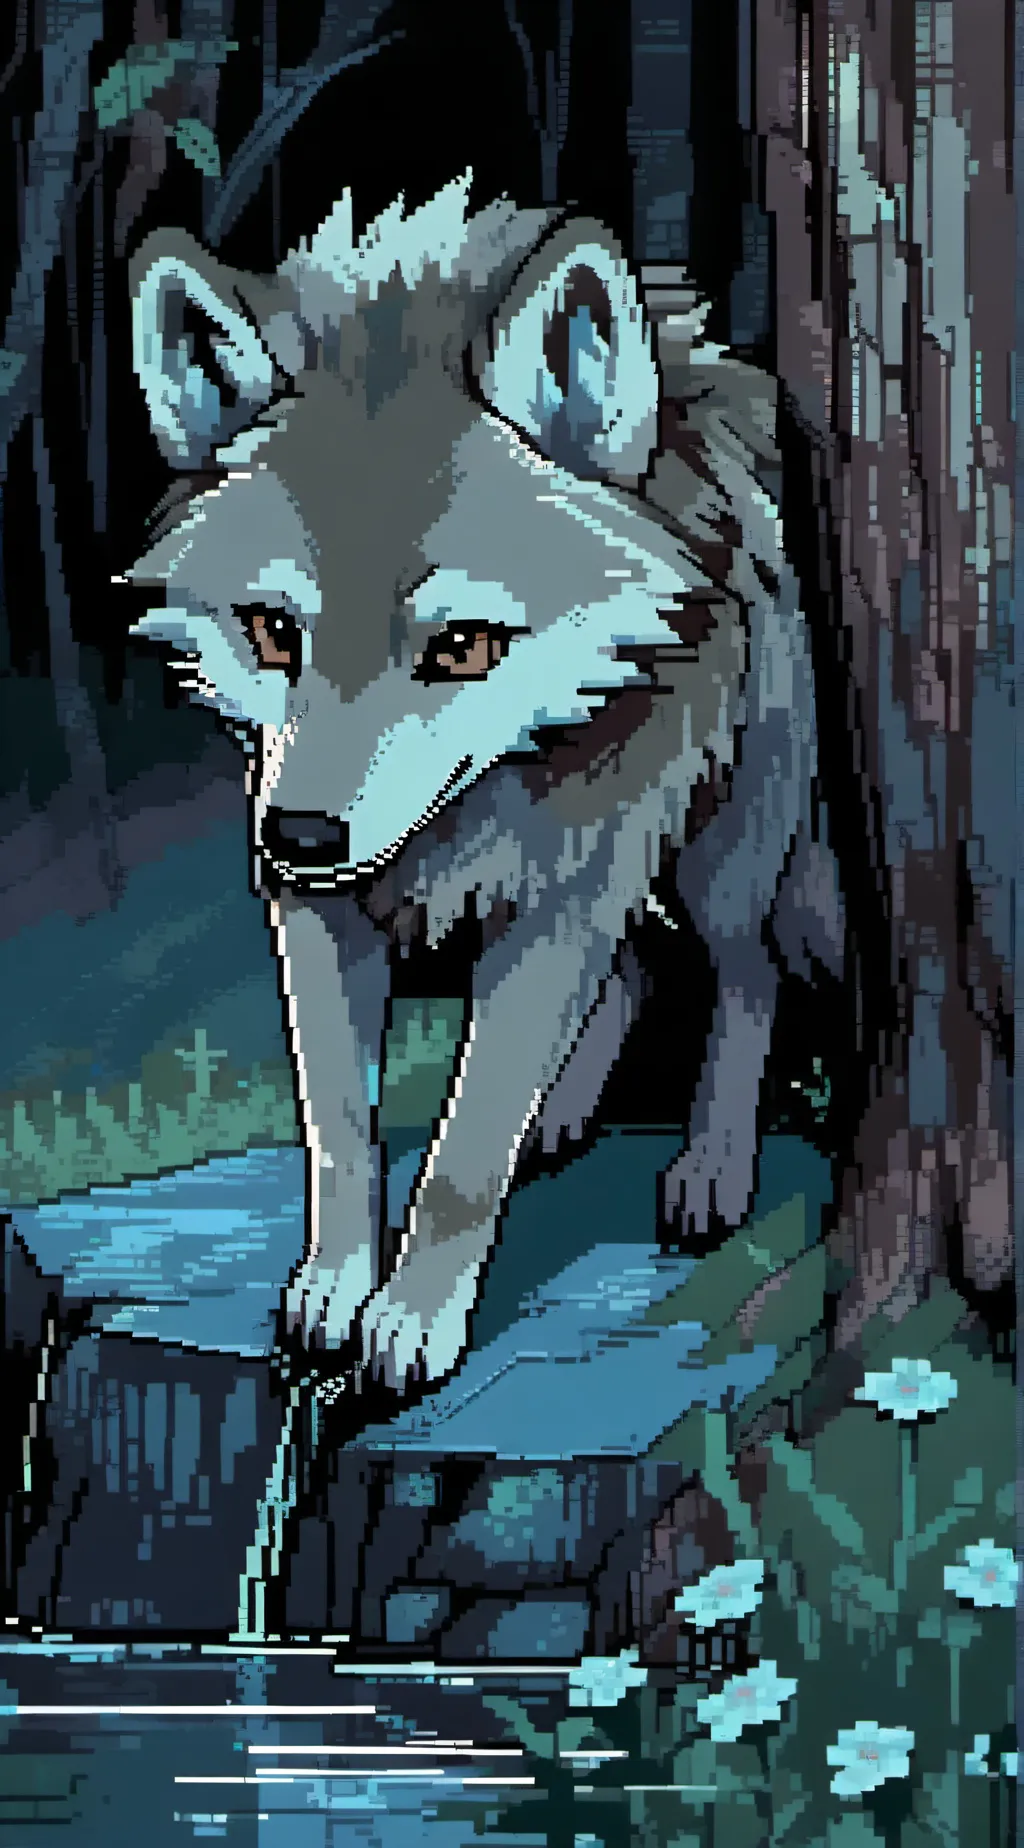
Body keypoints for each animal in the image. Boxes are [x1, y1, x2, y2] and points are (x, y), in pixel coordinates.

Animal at [126, 173, 844, 1394]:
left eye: (460, 646)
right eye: (274, 632)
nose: (301, 838)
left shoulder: (565, 886)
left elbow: (464, 1152)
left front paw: (414, 1318)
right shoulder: (323, 919)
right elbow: (340, 1127)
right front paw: (333, 1287)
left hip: (721, 851)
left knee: (742, 976)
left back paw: (709, 1167)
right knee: (636, 973)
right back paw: (564, 1115)